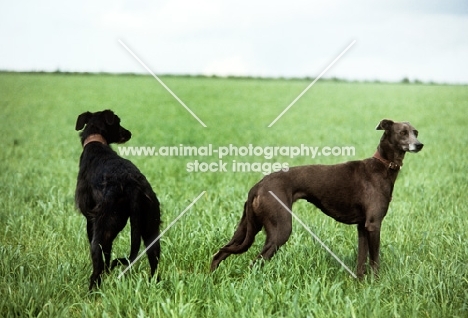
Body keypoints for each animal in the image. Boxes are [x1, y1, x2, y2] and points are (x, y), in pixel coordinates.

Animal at [74, 108, 160, 288]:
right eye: (119, 123)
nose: (129, 133)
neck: (96, 142)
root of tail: (132, 186)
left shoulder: (90, 219)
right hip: (151, 227)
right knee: (155, 265)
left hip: (105, 227)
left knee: (96, 269)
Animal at [212, 119, 424, 278]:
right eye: (403, 132)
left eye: (415, 132)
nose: (419, 144)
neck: (382, 167)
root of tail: (258, 185)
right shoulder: (374, 225)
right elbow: (375, 261)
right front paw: (377, 285)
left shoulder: (363, 227)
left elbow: (361, 262)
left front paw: (360, 285)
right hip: (280, 230)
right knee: (253, 264)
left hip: (246, 228)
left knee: (220, 253)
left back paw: (211, 279)